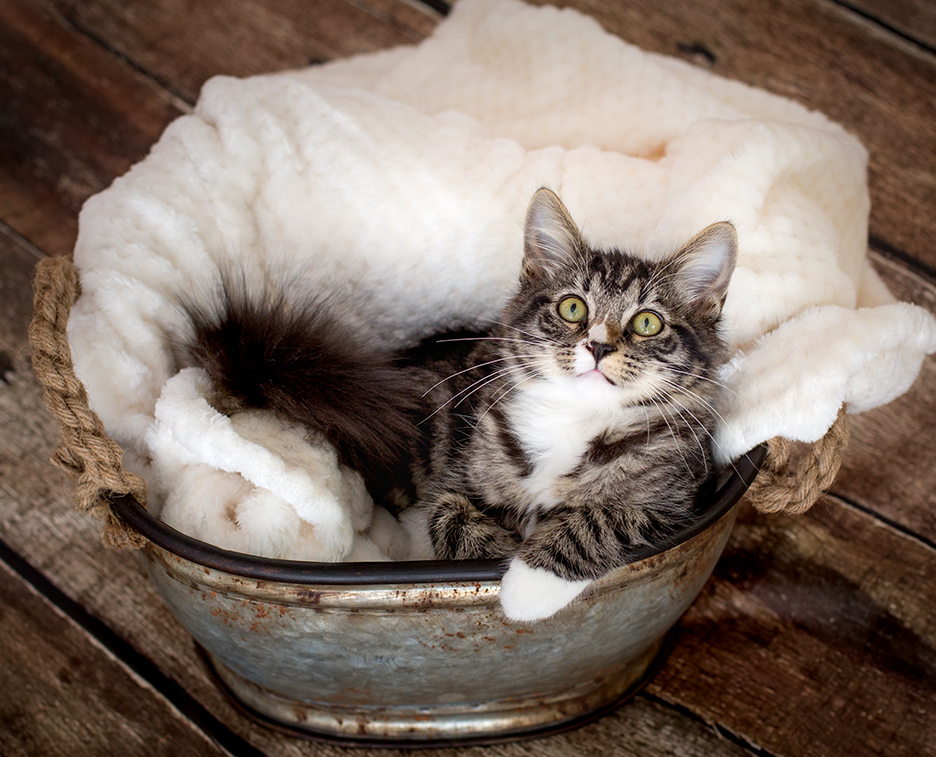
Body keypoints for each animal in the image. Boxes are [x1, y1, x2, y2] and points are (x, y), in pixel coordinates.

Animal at [181, 189, 740, 620]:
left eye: (647, 323)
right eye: (572, 308)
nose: (598, 346)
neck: (574, 422)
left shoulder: (676, 504)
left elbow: (601, 519)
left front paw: (526, 585)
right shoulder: (463, 466)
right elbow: (448, 516)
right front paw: (501, 555)